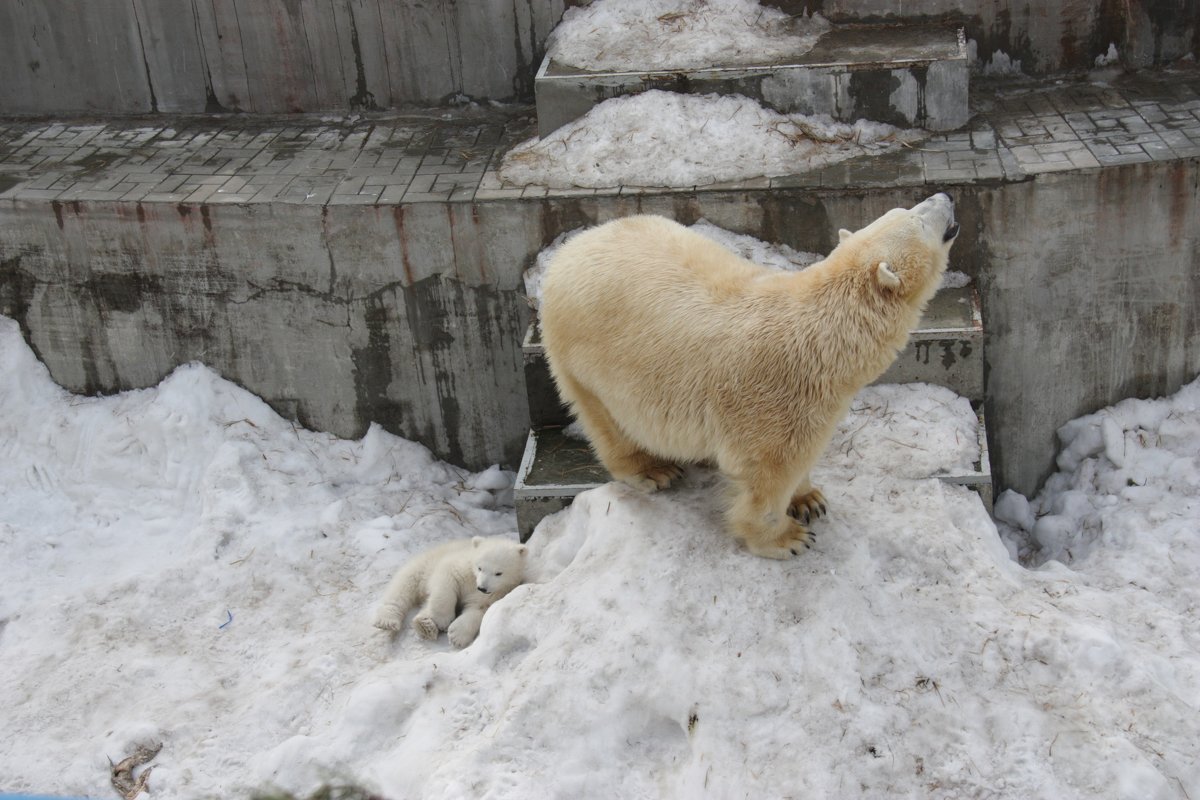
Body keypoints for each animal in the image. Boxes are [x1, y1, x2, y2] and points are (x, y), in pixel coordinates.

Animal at [540, 194, 960, 561]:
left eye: (905, 208)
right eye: (919, 219)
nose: (945, 196)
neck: (829, 335)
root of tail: (566, 252)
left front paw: (809, 499)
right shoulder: (776, 399)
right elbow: (769, 472)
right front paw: (786, 538)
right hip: (583, 355)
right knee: (605, 419)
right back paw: (653, 469)